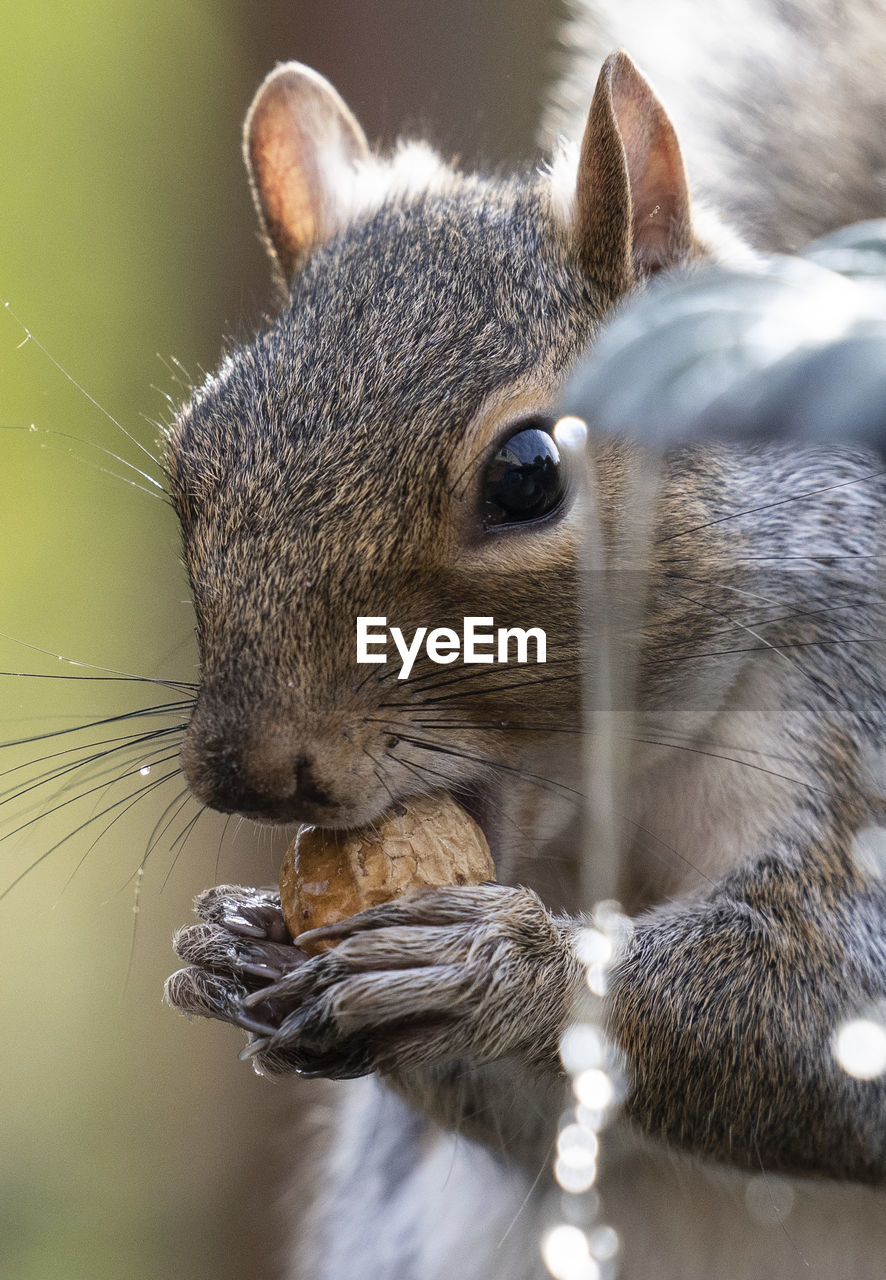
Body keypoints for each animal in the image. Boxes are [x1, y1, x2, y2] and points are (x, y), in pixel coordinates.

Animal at [162, 2, 886, 1280]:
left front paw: (502, 965)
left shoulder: (857, 716)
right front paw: (240, 943)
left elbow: (833, 1002)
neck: (615, 798)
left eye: (526, 474)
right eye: (185, 471)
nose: (248, 769)